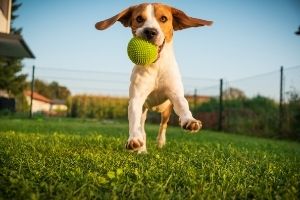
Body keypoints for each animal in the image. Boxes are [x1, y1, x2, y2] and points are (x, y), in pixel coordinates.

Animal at [95, 2, 212, 153]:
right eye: (139, 18)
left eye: (163, 18)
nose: (150, 31)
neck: (156, 66)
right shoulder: (136, 99)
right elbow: (134, 122)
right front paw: (134, 140)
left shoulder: (175, 94)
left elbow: (183, 105)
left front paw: (189, 121)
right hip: (144, 110)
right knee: (142, 127)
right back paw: (142, 149)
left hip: (166, 110)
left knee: (163, 126)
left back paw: (161, 142)